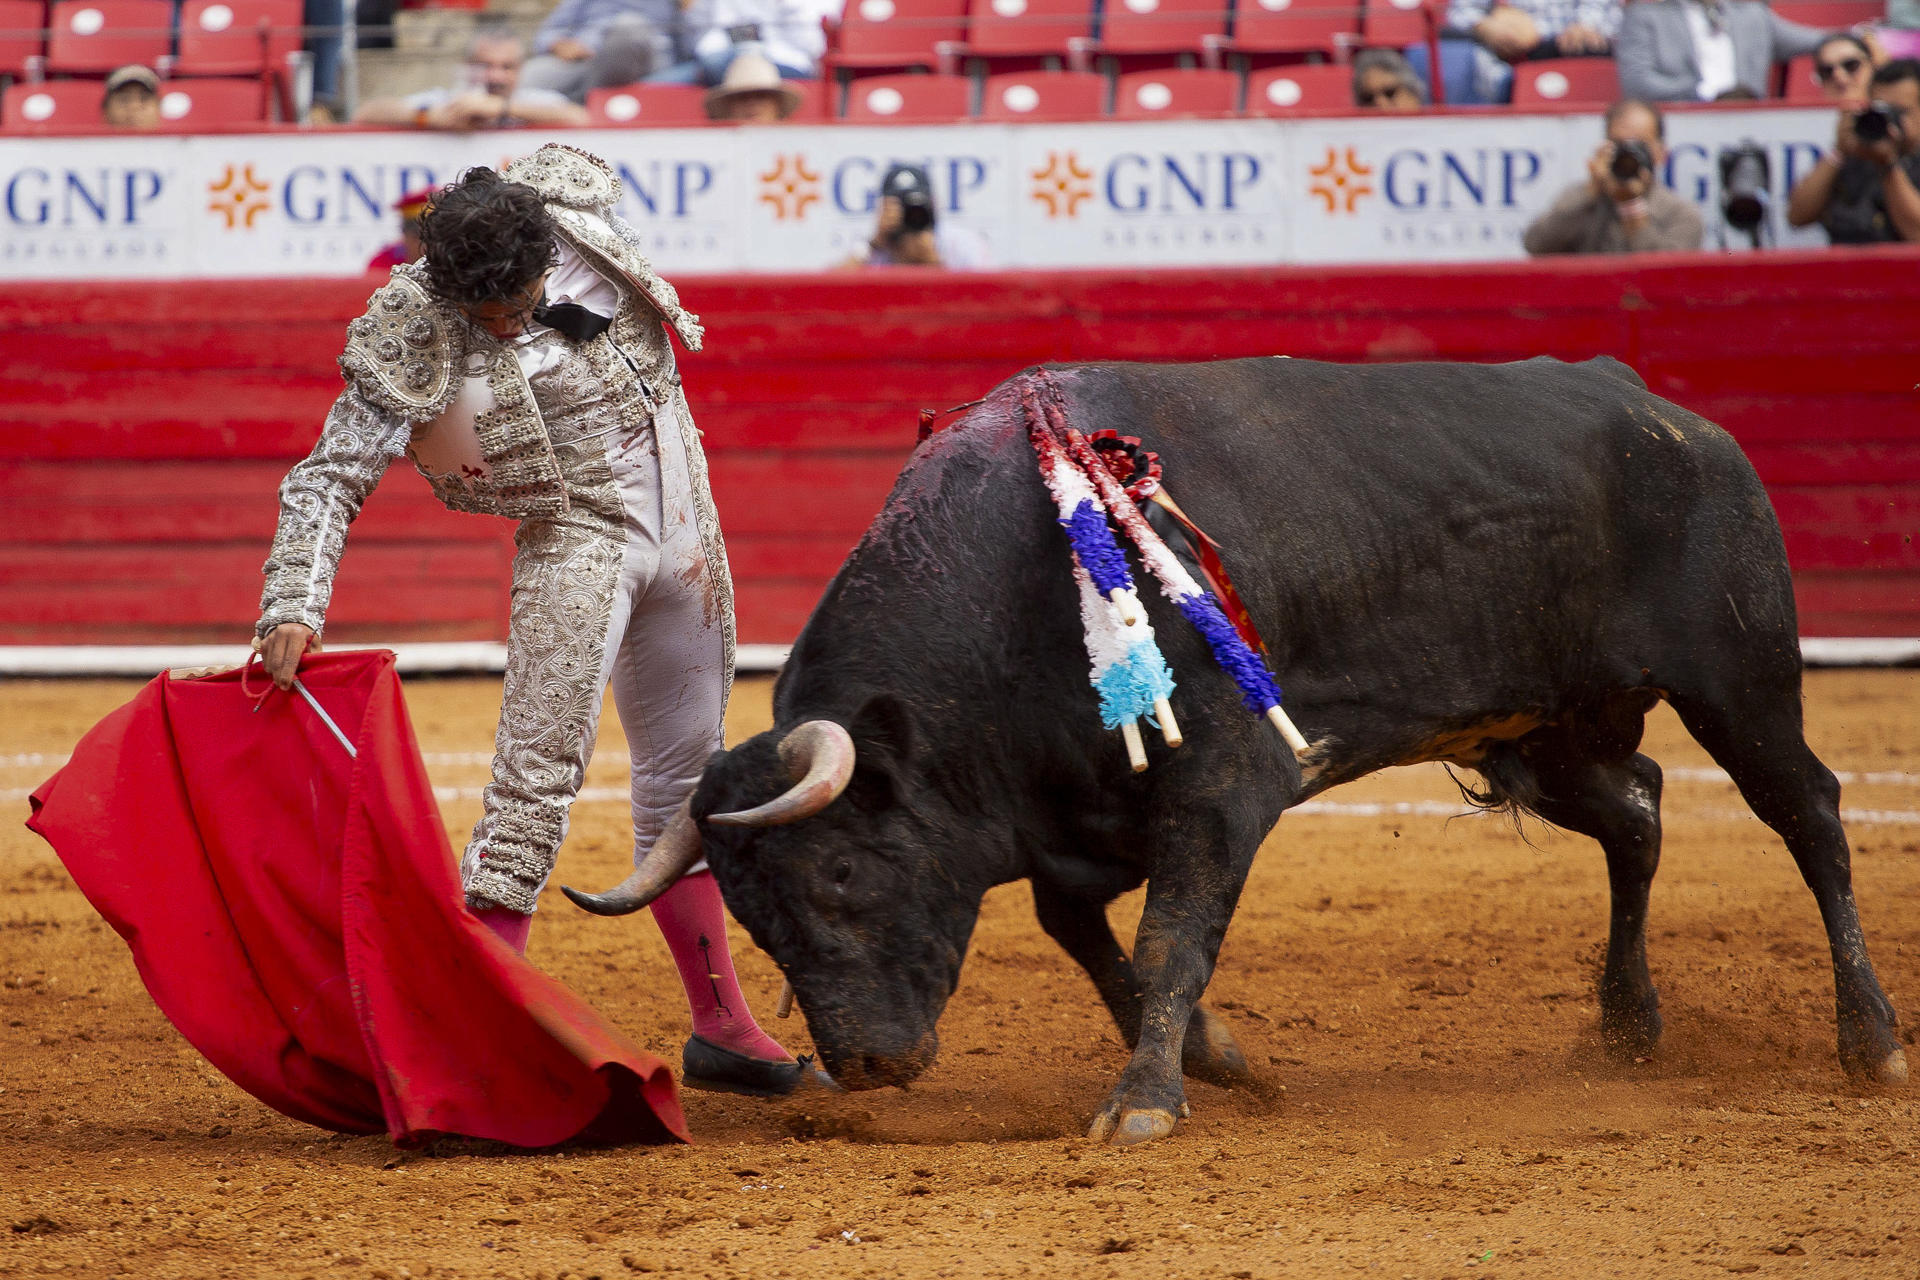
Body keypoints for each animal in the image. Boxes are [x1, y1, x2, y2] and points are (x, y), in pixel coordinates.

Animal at [564, 355, 1904, 1143]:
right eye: (752, 917)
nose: (867, 1062)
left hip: (1741, 678)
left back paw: (1872, 1040)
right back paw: (1628, 1024)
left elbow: (1168, 936)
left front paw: (1145, 1102)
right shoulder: (1066, 824)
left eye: (841, 873)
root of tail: (1672, 416)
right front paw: (1222, 1060)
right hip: (1550, 729)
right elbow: (1098, 947)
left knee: (1810, 814)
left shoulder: (1221, 784)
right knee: (1638, 809)